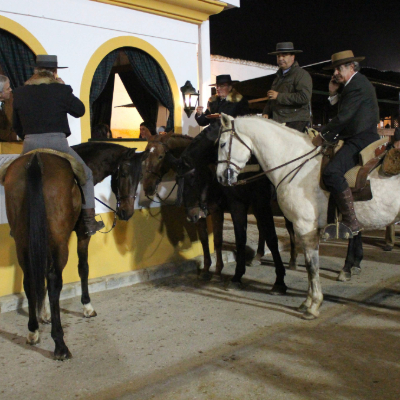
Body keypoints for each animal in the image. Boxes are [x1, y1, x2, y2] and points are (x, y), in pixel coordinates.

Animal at [217, 113, 400, 318]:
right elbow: (309, 264)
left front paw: (313, 305)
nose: (221, 177)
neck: (295, 164)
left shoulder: (304, 227)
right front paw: (307, 301)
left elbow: (311, 265)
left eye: (222, 144)